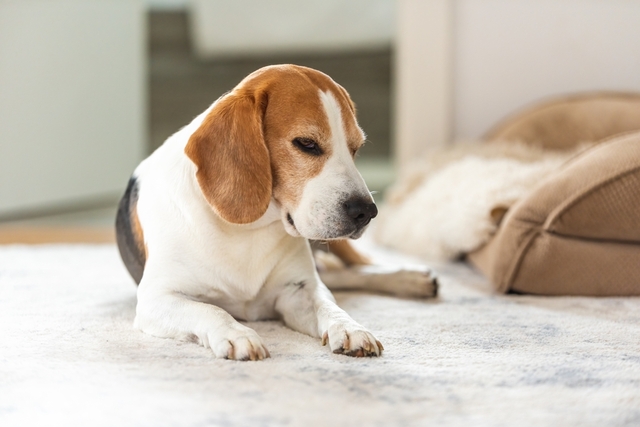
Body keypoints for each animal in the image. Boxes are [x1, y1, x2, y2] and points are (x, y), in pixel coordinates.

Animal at [115, 66, 438, 362]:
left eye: (355, 148)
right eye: (307, 144)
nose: (367, 211)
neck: (246, 230)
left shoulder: (299, 292)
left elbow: (330, 306)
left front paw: (350, 328)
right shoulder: (157, 299)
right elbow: (211, 310)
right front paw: (237, 334)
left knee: (354, 269)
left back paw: (410, 278)